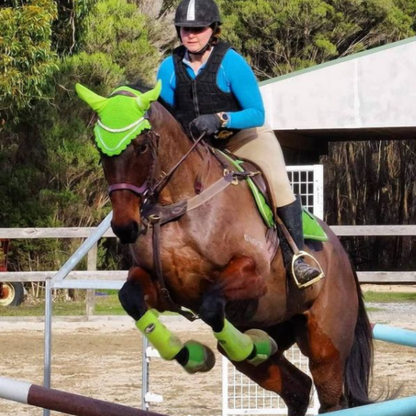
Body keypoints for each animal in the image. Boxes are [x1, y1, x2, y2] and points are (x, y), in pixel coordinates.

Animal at [76, 81, 372, 416]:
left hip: (326, 346)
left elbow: (211, 305)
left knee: (329, 394)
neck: (179, 203)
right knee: (296, 387)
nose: (125, 227)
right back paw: (260, 346)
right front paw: (191, 356)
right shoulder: (162, 287)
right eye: (100, 149)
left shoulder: (251, 275)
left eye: (140, 146)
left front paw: (244, 347)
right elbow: (131, 299)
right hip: (274, 325)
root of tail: (343, 257)